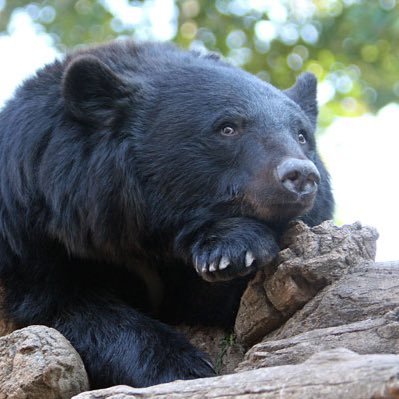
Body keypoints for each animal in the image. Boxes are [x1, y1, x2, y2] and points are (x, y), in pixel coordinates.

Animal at [0, 41, 334, 390]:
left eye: (302, 136)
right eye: (227, 127)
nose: (300, 175)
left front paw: (232, 251)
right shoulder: (33, 228)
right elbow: (61, 303)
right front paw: (183, 366)